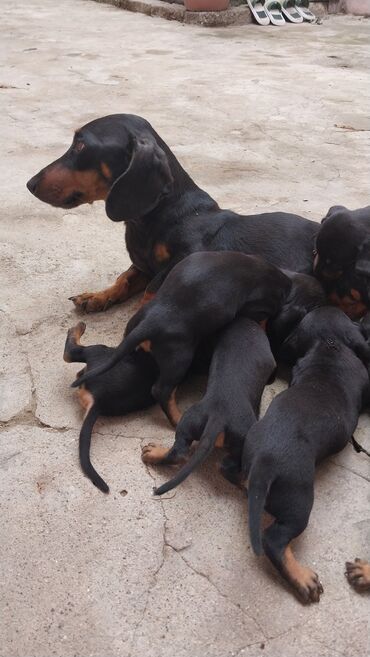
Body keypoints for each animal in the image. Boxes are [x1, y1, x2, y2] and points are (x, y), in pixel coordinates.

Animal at [140, 316, 276, 492]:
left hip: (189, 420)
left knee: (179, 451)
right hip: (244, 439)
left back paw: (153, 454)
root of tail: (217, 420)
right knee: (225, 467)